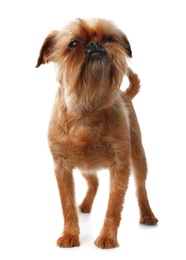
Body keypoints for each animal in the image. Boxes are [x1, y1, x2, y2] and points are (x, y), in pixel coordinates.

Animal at [35, 17, 158, 249]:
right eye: (73, 44)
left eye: (109, 39)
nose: (94, 44)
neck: (87, 105)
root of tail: (124, 94)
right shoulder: (62, 167)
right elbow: (67, 204)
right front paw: (70, 234)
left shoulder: (120, 165)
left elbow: (114, 205)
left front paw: (108, 236)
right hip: (84, 164)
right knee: (94, 182)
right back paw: (84, 205)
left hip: (138, 155)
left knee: (140, 186)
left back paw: (147, 215)